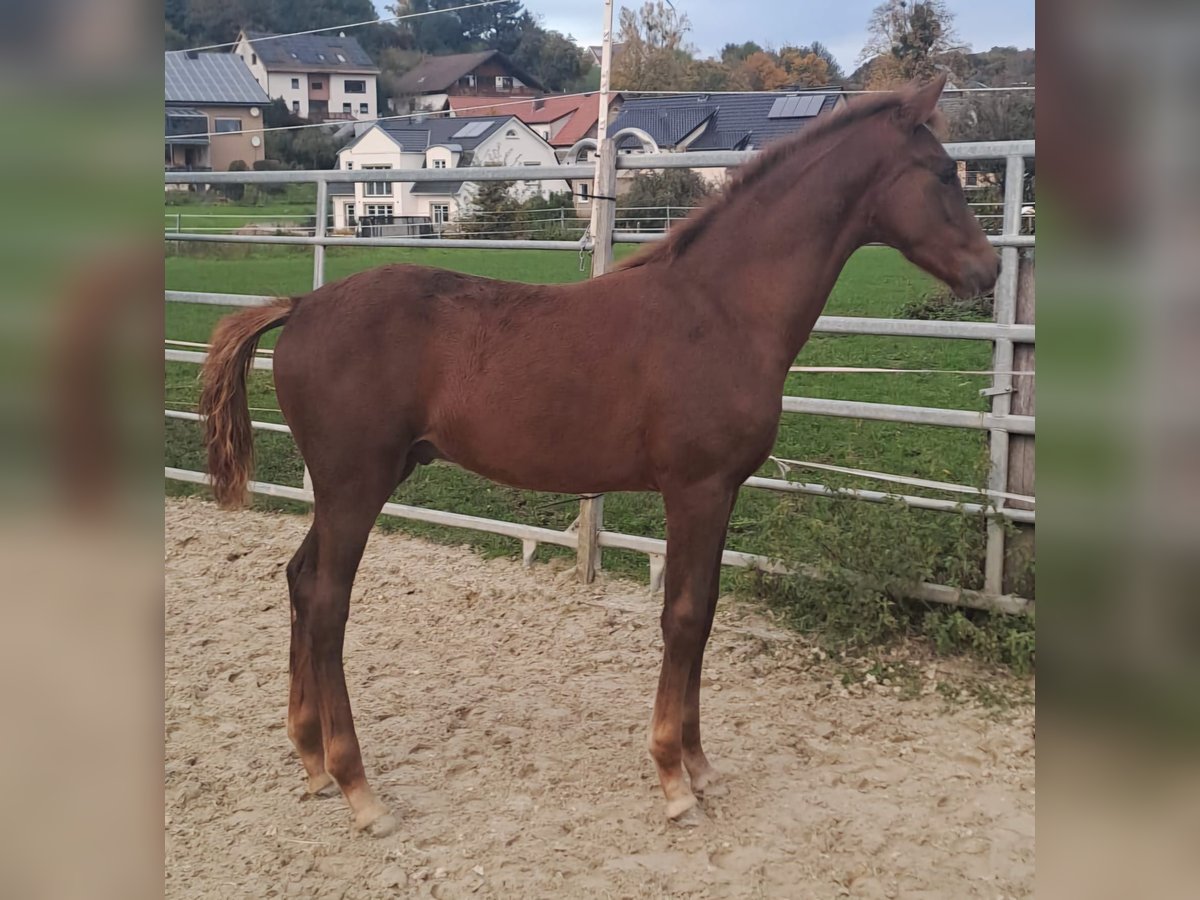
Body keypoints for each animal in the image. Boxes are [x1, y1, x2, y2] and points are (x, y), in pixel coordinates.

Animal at [201, 77, 998, 840]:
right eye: (942, 172)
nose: (988, 271)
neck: (720, 309)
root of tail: (300, 307)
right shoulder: (696, 489)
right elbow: (683, 617)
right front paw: (674, 780)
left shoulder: (723, 493)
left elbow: (705, 611)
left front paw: (700, 765)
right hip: (356, 484)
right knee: (327, 601)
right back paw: (359, 789)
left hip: (356, 483)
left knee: (299, 580)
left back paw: (311, 761)